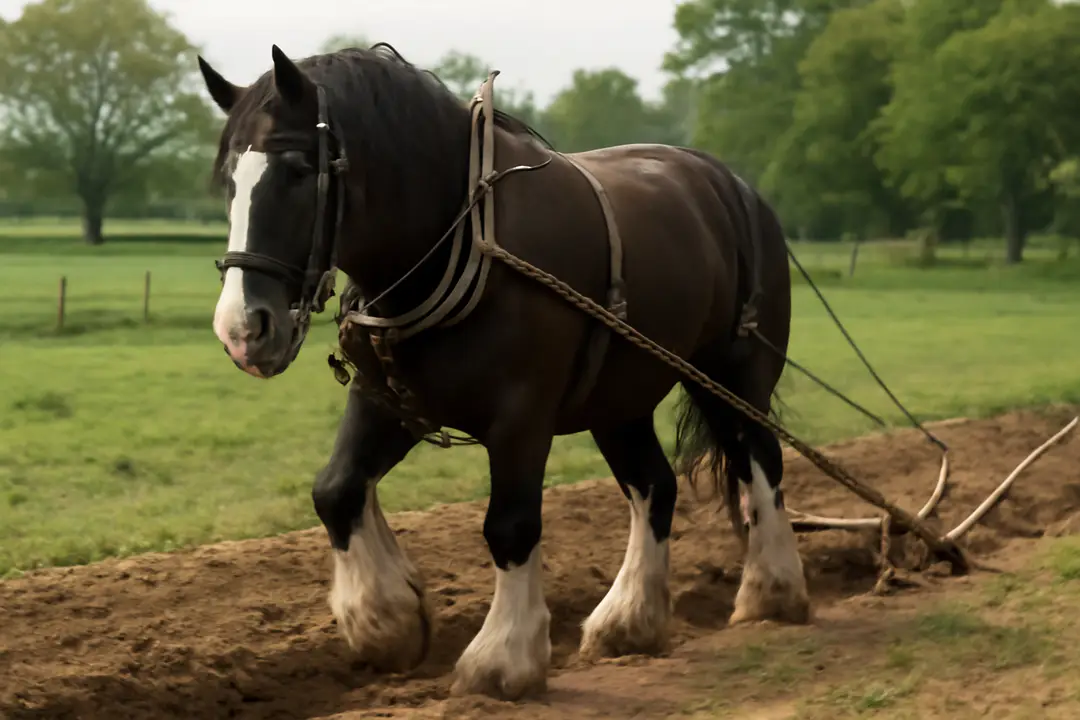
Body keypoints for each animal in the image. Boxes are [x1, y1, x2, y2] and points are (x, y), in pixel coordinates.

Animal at [197, 43, 809, 700]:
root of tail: (731, 183)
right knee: (655, 485)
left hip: (732, 374)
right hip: (619, 399)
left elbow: (509, 526)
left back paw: (772, 591)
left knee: (761, 461)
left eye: (295, 169)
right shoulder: (386, 398)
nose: (242, 329)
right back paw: (629, 621)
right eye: (229, 179)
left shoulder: (522, 415)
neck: (461, 242)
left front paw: (503, 658)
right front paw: (386, 619)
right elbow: (336, 490)